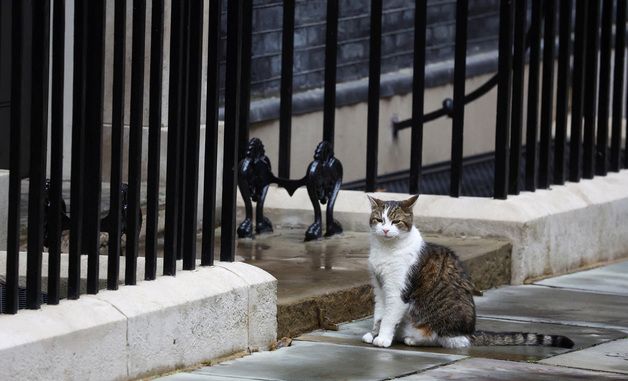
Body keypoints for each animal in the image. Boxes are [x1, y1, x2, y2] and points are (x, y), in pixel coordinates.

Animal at [364, 194, 576, 348]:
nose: (385, 230)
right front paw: (374, 334)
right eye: (379, 220)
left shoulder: (398, 290)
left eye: (396, 221)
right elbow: (379, 314)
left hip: (436, 321)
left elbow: (389, 317)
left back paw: (413, 339)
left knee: (444, 338)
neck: (386, 249)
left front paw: (383, 338)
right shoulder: (380, 287)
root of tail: (469, 332)